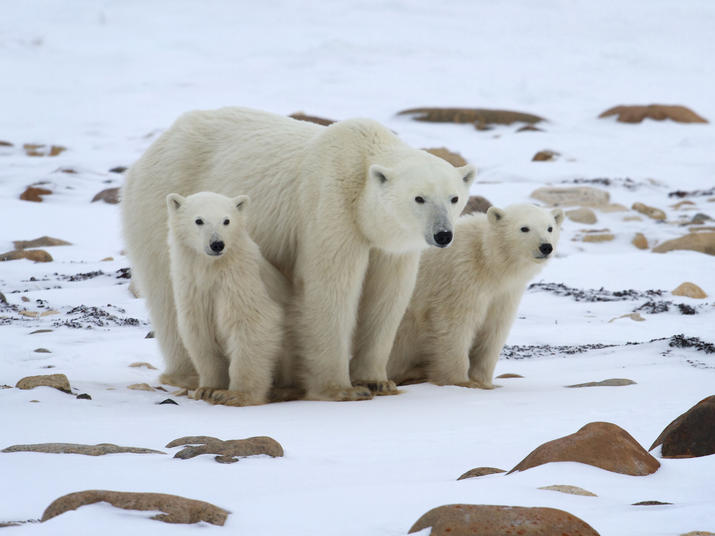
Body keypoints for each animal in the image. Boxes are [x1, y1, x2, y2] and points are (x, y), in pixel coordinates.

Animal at [166, 191, 289, 405]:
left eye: (226, 220)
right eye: (199, 220)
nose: (217, 244)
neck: (212, 269)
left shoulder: (240, 281)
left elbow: (252, 324)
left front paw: (235, 395)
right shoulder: (193, 290)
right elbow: (200, 333)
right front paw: (207, 389)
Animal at [387, 204, 563, 388]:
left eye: (550, 228)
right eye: (524, 228)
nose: (545, 247)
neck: (487, 259)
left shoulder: (504, 293)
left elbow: (493, 330)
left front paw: (484, 381)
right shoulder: (460, 276)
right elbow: (454, 324)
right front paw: (461, 381)